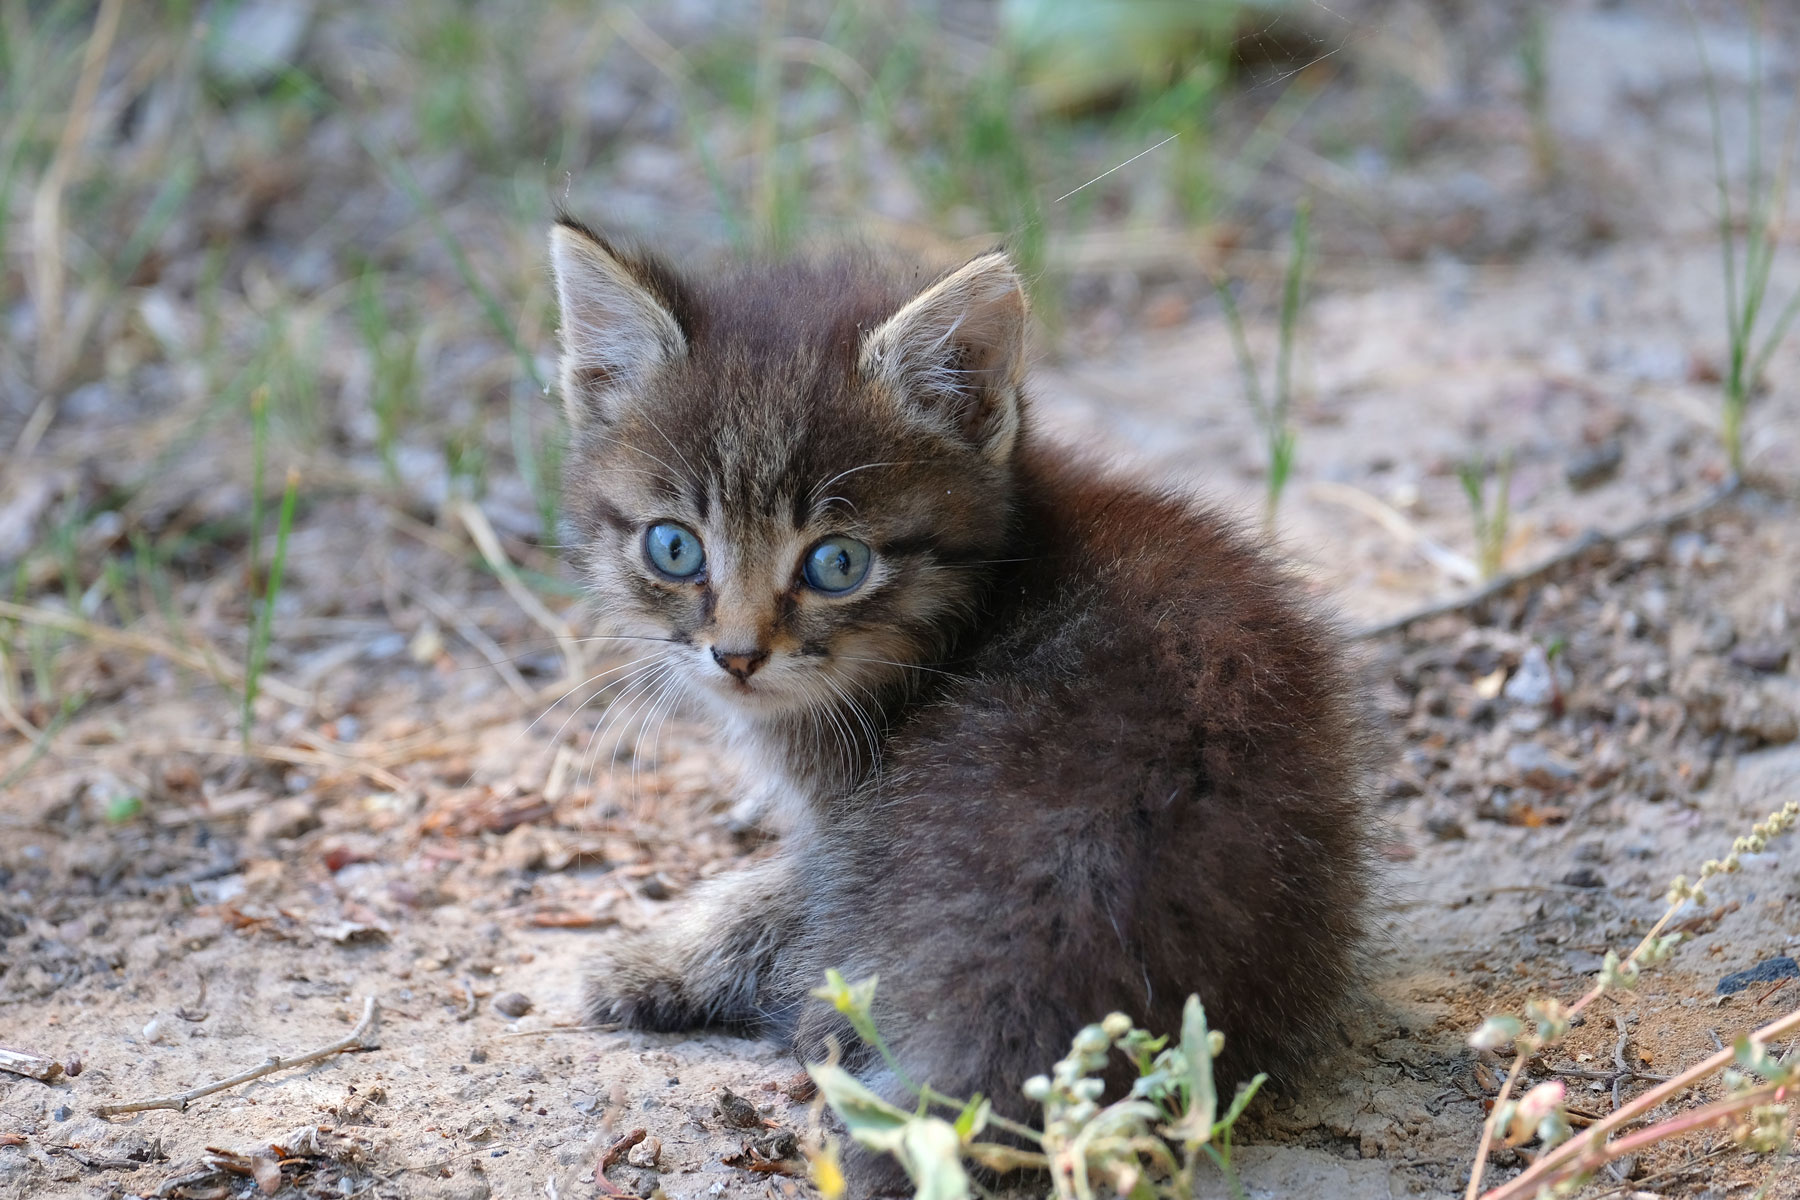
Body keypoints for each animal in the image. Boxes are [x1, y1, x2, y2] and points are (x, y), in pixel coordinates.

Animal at [554, 218, 1368, 1194]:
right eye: (674, 548)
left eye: (837, 563)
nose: (738, 655)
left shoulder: (841, 821)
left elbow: (768, 895)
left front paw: (650, 953)